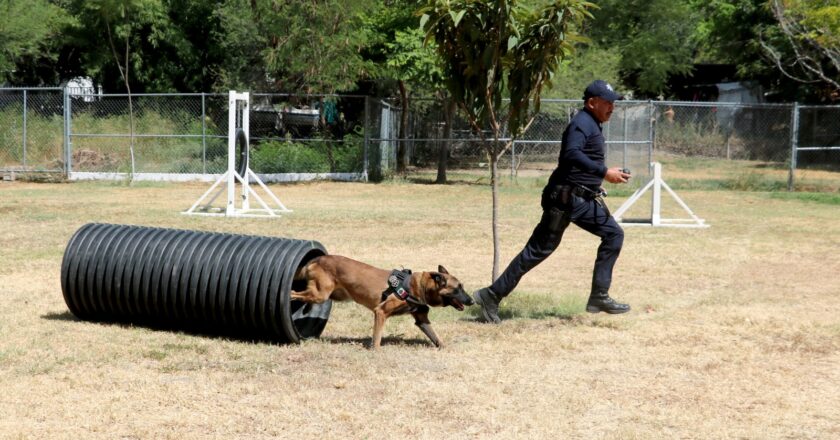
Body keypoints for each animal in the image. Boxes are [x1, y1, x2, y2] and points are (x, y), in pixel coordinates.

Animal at [290, 256, 472, 348]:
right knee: (293, 293)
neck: (419, 286)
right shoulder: (381, 312)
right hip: (320, 294)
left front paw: (445, 347)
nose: (471, 300)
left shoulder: (421, 320)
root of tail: (318, 258)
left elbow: (436, 337)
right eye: (458, 288)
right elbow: (377, 338)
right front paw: (375, 351)